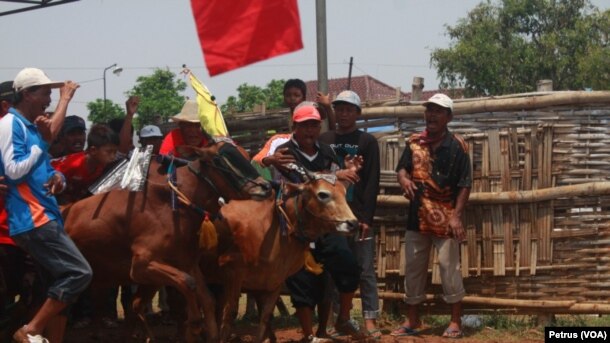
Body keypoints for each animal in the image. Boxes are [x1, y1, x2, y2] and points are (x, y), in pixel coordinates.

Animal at [61, 141, 266, 342]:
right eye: (219, 159)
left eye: (245, 155)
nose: (265, 187)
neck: (173, 205)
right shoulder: (141, 266)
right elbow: (188, 284)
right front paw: (194, 325)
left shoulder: (186, 262)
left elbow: (207, 299)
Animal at [202, 176, 358, 342]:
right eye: (323, 194)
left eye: (344, 193)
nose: (353, 224)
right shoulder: (233, 274)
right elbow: (229, 315)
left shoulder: (273, 282)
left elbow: (265, 317)